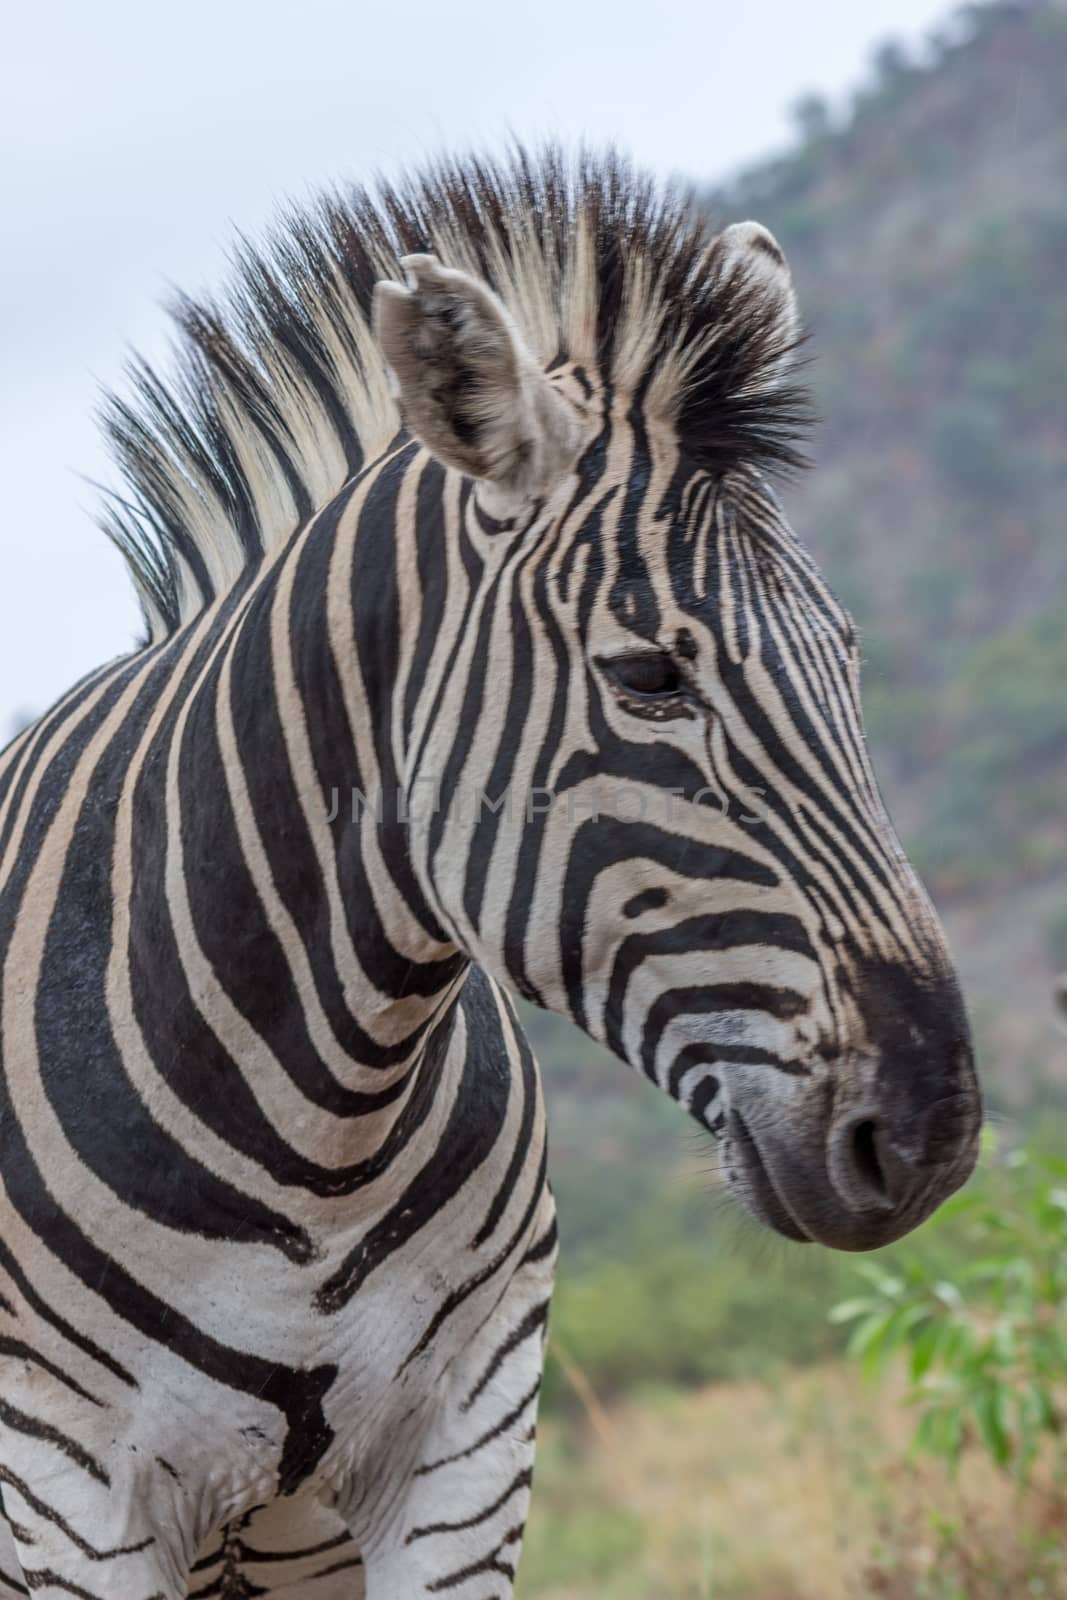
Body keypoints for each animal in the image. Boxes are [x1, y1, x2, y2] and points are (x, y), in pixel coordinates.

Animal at [0, 147, 985, 1587]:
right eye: (647, 676)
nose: (927, 1131)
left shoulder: (466, 1450)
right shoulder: (70, 1495)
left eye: (842, 656)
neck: (317, 1134)